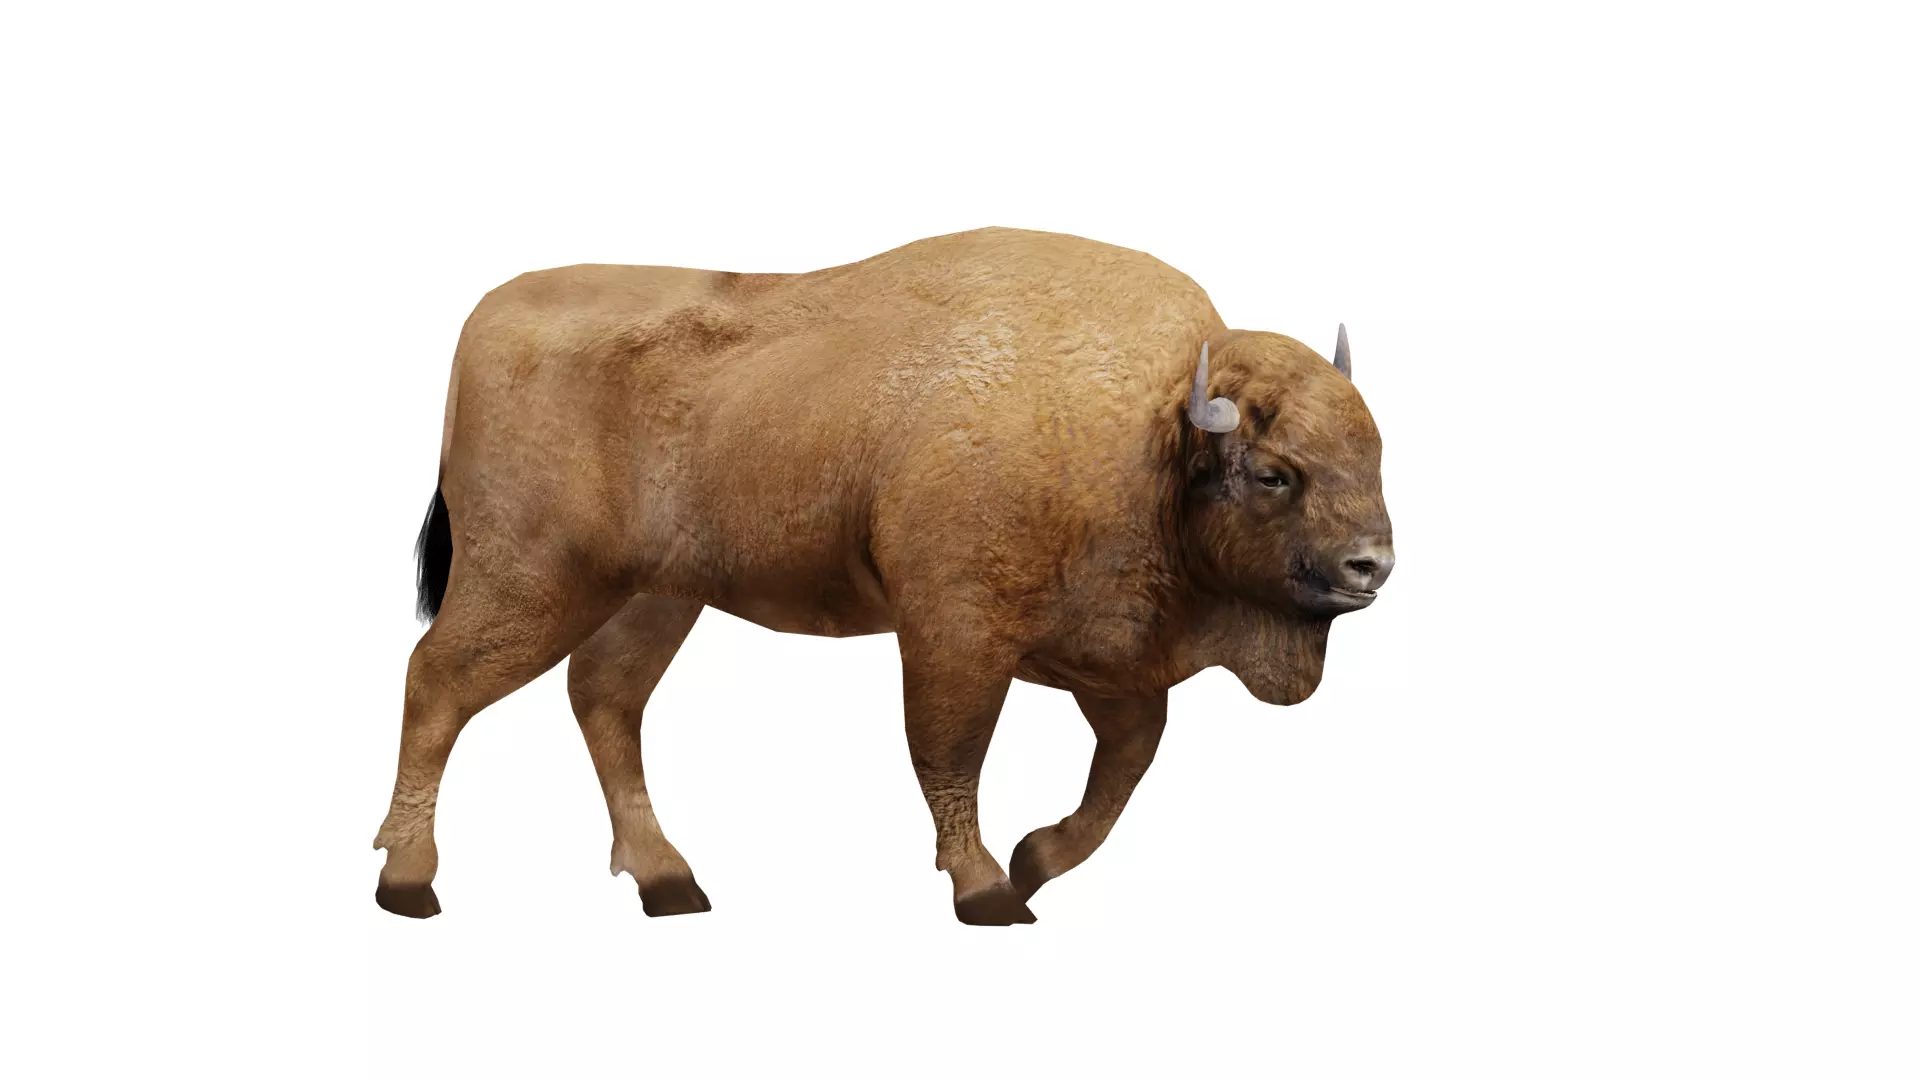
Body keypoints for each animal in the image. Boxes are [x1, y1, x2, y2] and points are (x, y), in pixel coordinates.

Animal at [374, 227, 1394, 925]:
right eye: (1274, 474)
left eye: (1375, 452)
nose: (1373, 564)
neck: (1153, 432)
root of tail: (485, 319)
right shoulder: (957, 637)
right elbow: (952, 753)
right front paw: (988, 891)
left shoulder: (1108, 657)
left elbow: (1125, 764)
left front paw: (1036, 860)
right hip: (531, 581)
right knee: (439, 682)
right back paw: (407, 881)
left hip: (653, 597)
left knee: (603, 700)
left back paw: (668, 880)